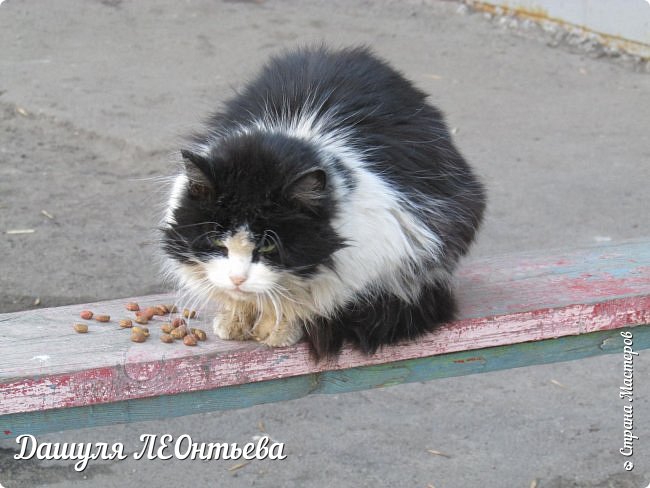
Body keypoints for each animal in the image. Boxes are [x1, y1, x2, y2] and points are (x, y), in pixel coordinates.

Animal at [159, 44, 484, 358]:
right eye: (216, 240)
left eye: (268, 246)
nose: (237, 278)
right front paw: (234, 320)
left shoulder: (394, 242)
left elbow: (302, 299)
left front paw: (277, 330)